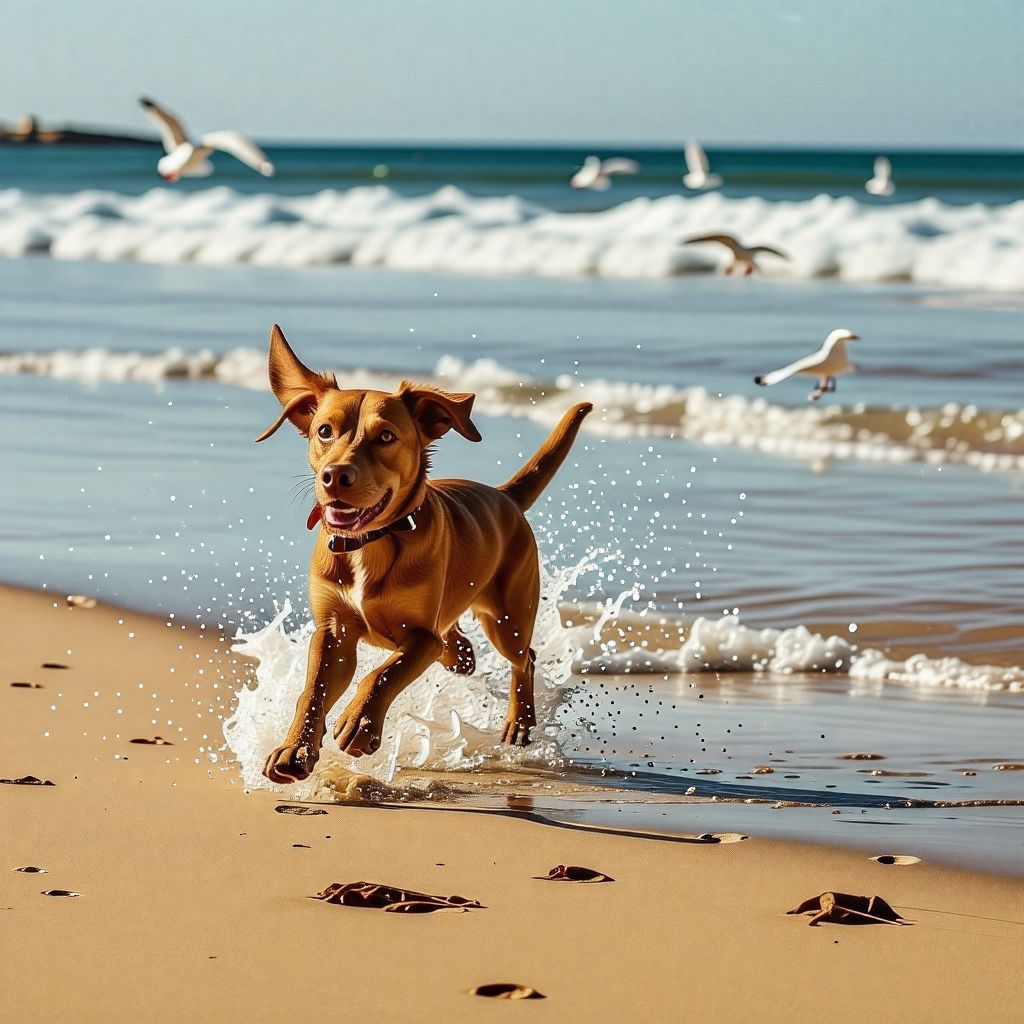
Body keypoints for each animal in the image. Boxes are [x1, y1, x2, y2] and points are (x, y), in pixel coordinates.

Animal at [256, 327, 593, 782]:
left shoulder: (420, 636)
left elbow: (384, 674)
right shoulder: (334, 632)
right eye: (324, 431)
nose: (335, 476)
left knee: (524, 657)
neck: (372, 544)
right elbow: (312, 690)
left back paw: (519, 722)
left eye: (385, 436)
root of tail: (504, 496)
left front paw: (361, 725)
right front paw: (295, 749)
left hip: (508, 617)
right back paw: (463, 653)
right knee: (459, 648)